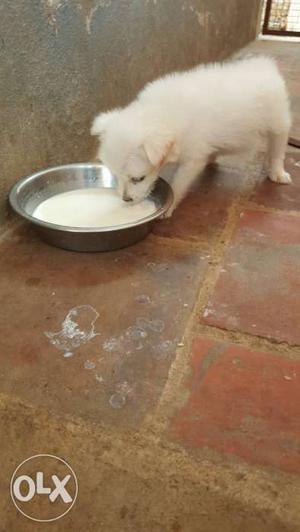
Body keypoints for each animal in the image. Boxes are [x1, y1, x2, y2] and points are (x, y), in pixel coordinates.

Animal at [91, 55, 290, 216]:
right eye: (116, 175)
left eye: (138, 179)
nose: (126, 199)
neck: (163, 112)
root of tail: (264, 65)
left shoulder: (192, 160)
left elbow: (177, 185)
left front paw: (170, 207)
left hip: (278, 123)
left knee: (277, 151)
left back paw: (278, 173)